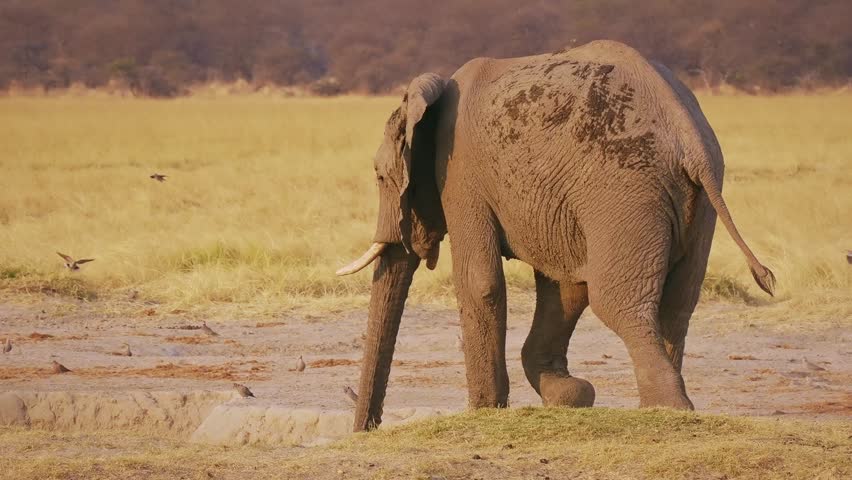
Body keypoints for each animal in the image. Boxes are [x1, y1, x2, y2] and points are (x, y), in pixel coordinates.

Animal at [337, 40, 775, 432]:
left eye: (379, 176)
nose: (366, 429)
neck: (434, 92)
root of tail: (690, 137)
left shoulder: (460, 172)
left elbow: (480, 281)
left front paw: (484, 411)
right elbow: (565, 288)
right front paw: (571, 394)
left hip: (623, 190)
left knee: (618, 303)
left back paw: (667, 411)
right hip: (695, 204)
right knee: (677, 304)